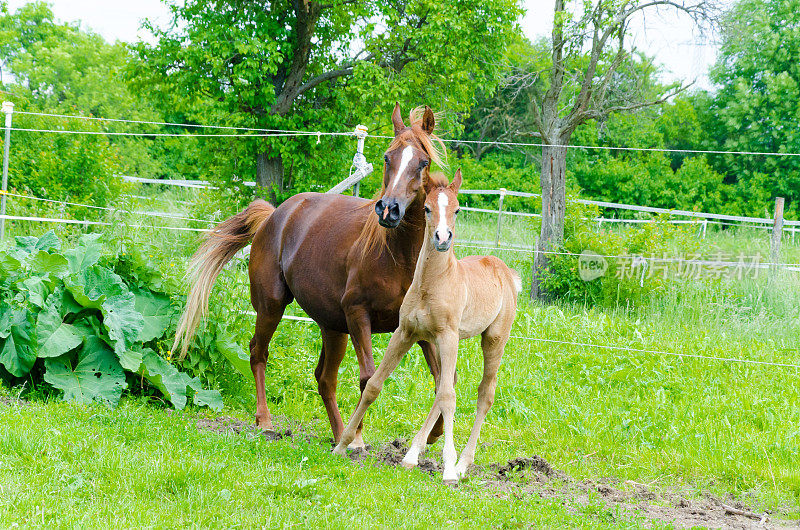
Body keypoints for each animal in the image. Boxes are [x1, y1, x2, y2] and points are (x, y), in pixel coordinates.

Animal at [174, 103, 446, 446]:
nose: (389, 210)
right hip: (273, 306)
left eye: (422, 163)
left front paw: (434, 435)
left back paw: (338, 433)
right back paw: (267, 422)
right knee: (258, 352)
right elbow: (368, 378)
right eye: (388, 157)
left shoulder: (417, 326)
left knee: (324, 378)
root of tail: (273, 216)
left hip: (333, 327)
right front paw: (358, 440)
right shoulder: (358, 315)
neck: (397, 258)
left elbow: (440, 380)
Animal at [334, 170, 520, 482]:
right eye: (427, 209)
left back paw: (462, 463)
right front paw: (343, 444)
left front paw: (449, 470)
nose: (442, 238)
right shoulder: (405, 333)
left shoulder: (448, 336)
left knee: (483, 393)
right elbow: (374, 384)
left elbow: (448, 397)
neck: (431, 284)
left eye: (457, 209)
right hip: (437, 341)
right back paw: (412, 454)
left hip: (494, 339)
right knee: (446, 383)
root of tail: (505, 270)